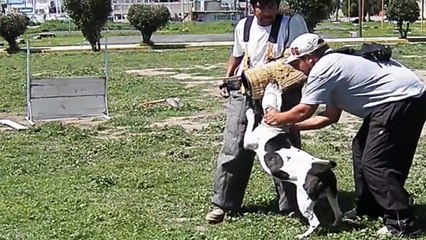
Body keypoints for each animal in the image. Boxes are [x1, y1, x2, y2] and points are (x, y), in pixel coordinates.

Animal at [243, 82, 342, 238]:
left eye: (270, 91)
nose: (274, 82)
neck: (274, 125)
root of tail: (321, 169)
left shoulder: (248, 142)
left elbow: (250, 123)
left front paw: (249, 113)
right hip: (331, 193)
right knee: (338, 212)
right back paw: (334, 224)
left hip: (304, 199)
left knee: (315, 222)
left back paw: (303, 235)